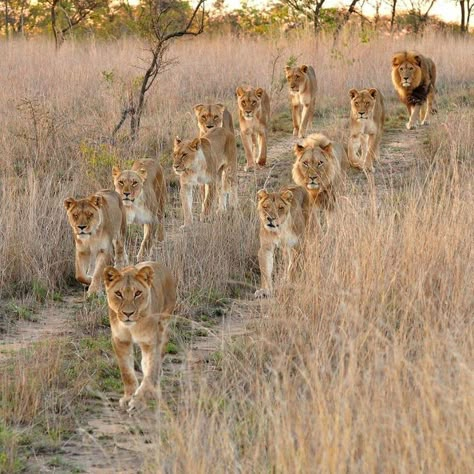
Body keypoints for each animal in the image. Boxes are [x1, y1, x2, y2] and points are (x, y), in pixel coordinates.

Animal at [103, 262, 176, 412]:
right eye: (118, 293)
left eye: (137, 293)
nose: (128, 313)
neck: (132, 327)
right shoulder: (120, 341)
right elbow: (126, 372)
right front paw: (128, 397)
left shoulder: (150, 342)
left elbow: (150, 371)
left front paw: (138, 401)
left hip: (164, 325)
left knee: (156, 362)